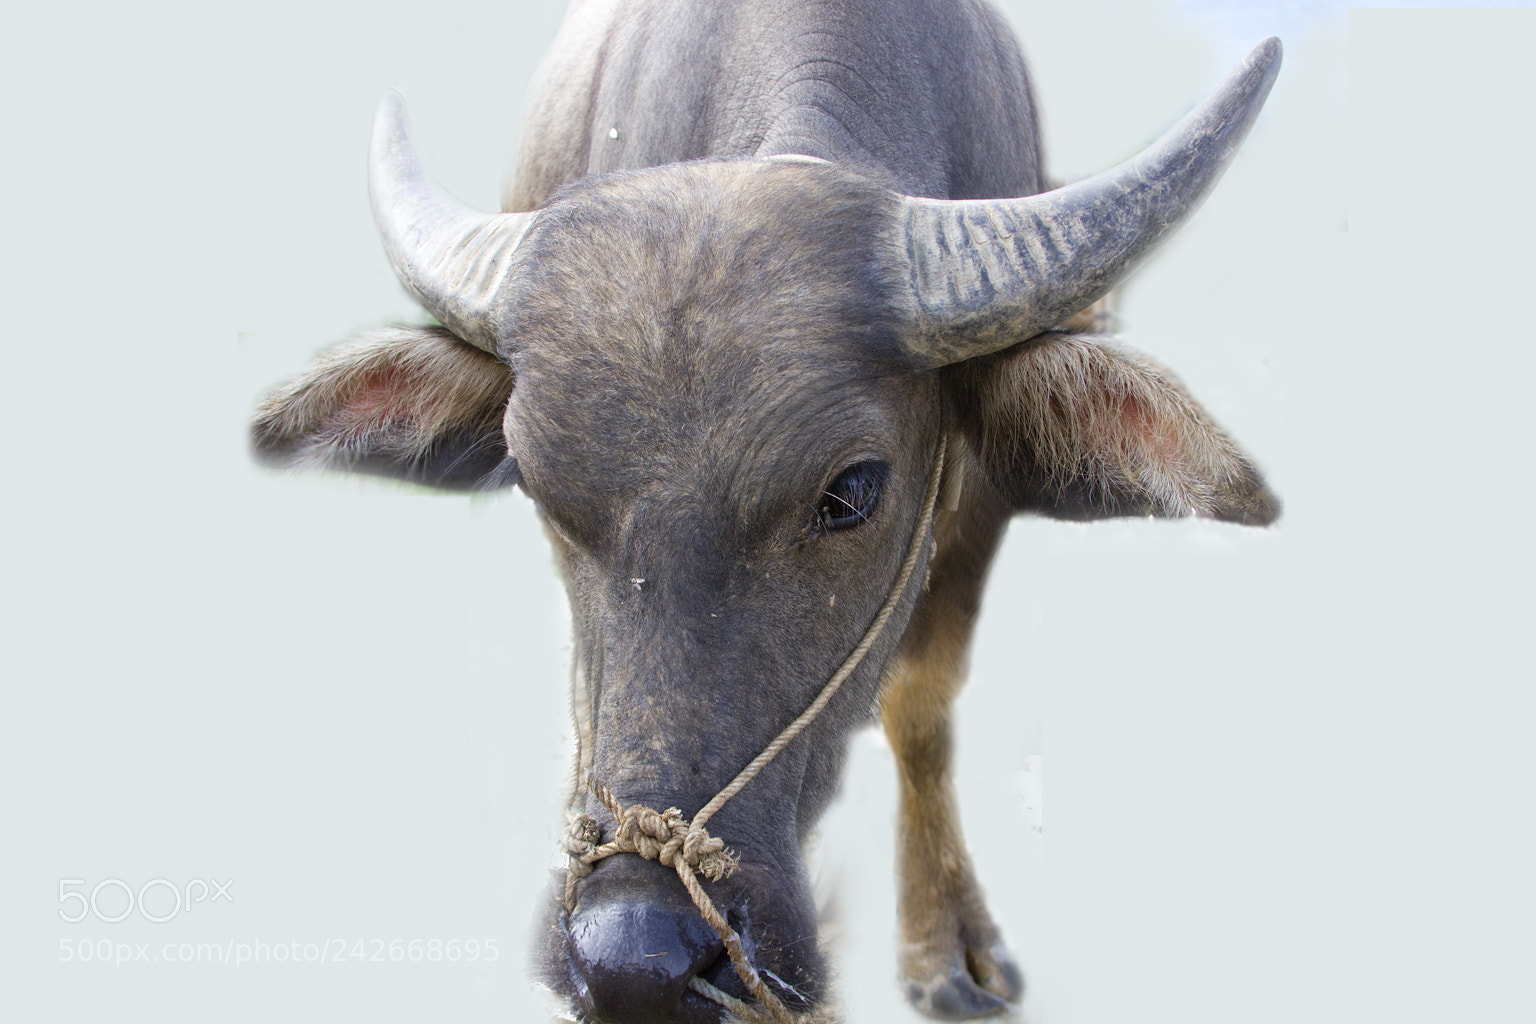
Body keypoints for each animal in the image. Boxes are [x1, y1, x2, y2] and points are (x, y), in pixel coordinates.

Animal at [250, 0, 1281, 1020]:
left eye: (852, 491)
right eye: (538, 488)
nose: (634, 959)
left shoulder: (977, 494)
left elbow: (922, 702)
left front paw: (945, 947)